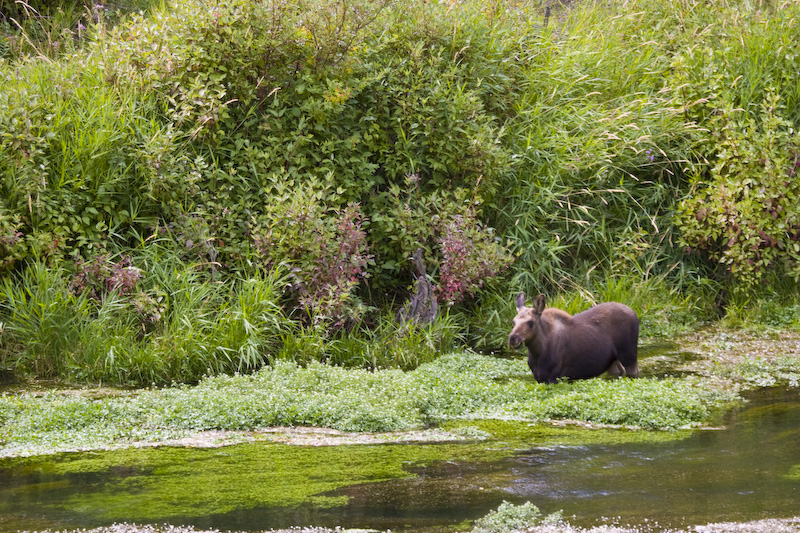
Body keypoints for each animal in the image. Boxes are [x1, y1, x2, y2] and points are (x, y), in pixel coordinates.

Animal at [510, 290, 640, 382]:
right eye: (513, 321)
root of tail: (634, 313)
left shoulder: (554, 377)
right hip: (612, 361)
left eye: (531, 322)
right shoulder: (539, 378)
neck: (537, 354)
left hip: (629, 355)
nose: (512, 338)